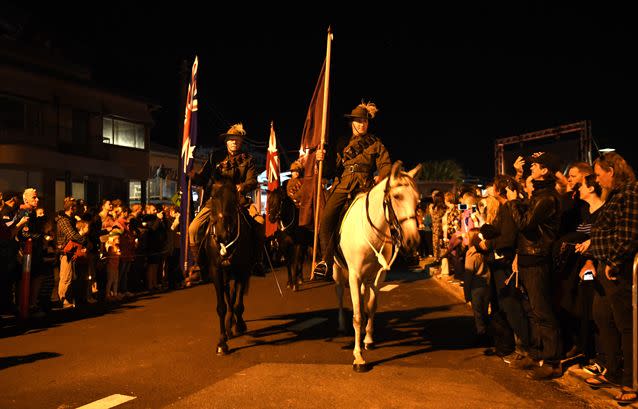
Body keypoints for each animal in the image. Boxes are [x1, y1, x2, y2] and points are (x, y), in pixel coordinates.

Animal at [332, 161, 422, 372]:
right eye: (397, 196)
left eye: (418, 201)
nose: (413, 241)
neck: (372, 231)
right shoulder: (354, 275)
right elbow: (357, 315)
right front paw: (358, 357)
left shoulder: (379, 275)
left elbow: (371, 307)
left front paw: (369, 339)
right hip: (338, 270)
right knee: (339, 292)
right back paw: (341, 325)